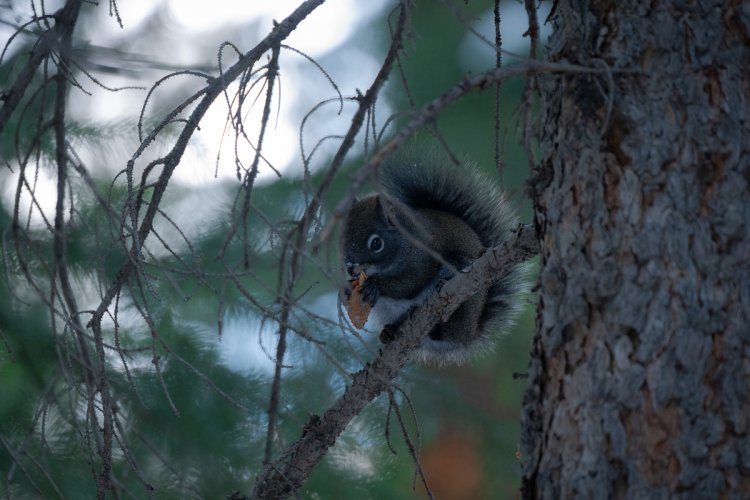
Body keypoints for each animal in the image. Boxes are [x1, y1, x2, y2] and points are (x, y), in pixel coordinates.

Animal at [342, 150, 528, 366]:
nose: (351, 267)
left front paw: (375, 286)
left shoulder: (423, 258)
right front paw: (346, 291)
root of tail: (468, 334)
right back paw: (390, 331)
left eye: (376, 243)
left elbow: (411, 281)